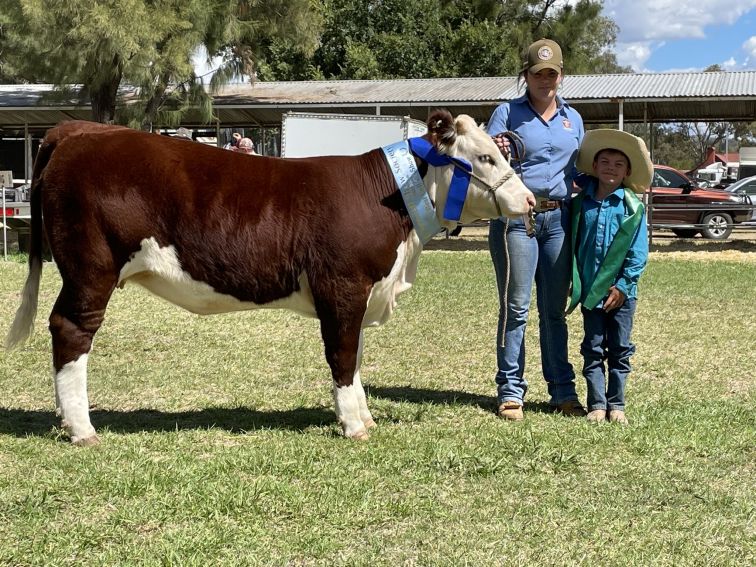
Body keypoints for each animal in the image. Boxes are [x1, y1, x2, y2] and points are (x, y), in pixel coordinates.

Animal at [5, 111, 536, 446]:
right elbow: (343, 356)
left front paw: (362, 414)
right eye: (485, 158)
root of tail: (79, 129)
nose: (531, 200)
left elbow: (357, 356)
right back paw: (82, 429)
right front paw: (354, 425)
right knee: (71, 330)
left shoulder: (362, 291)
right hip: (91, 267)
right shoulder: (343, 285)